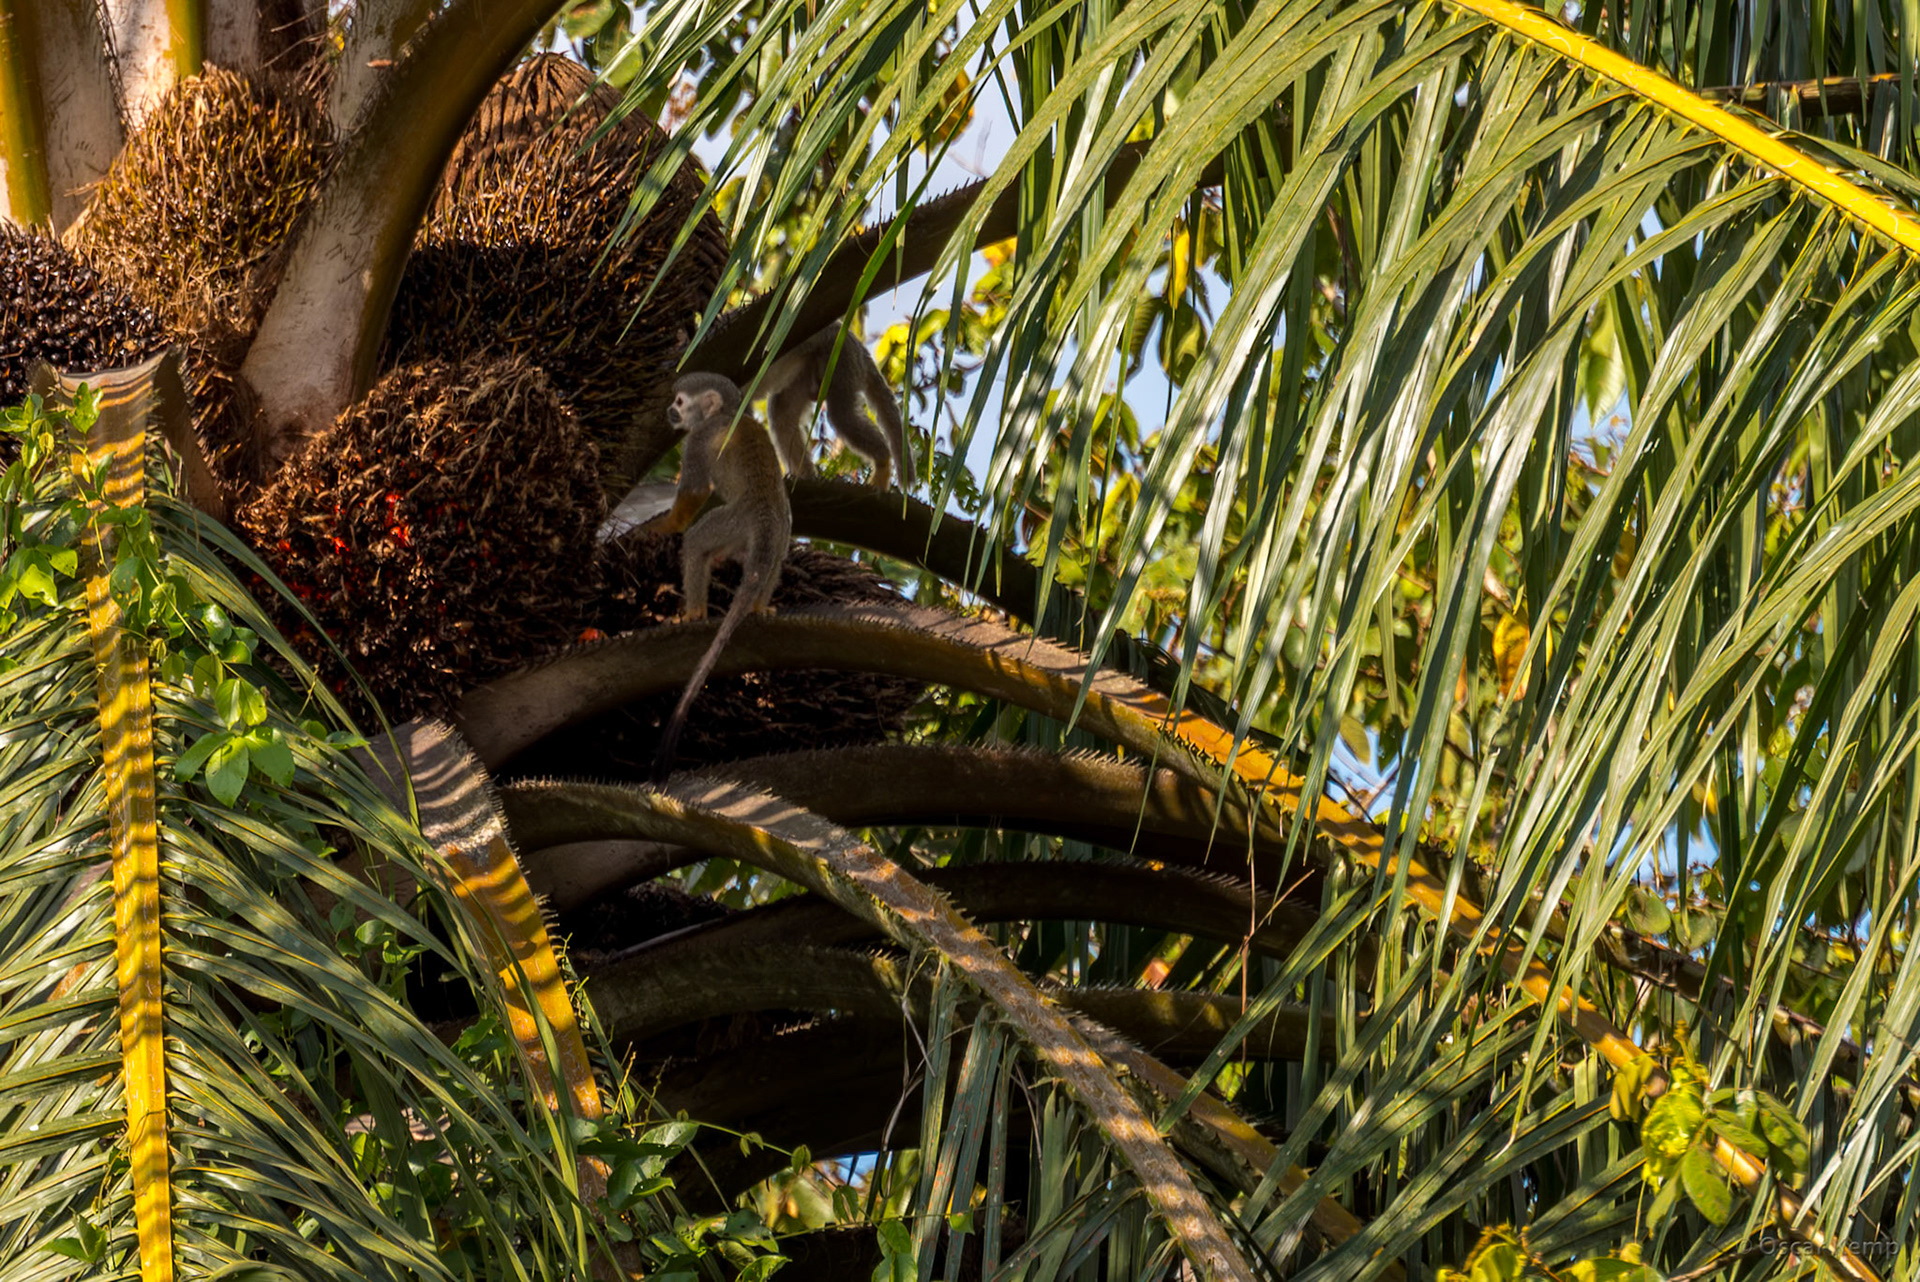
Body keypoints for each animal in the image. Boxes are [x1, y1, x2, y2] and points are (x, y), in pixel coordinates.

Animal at [651, 373, 793, 778]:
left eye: (680, 402)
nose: (669, 412)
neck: (728, 413)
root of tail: (765, 516)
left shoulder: (699, 439)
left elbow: (695, 493)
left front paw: (661, 528)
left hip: (734, 521)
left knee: (698, 540)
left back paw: (695, 612)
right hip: (778, 533)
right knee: (774, 559)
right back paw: (759, 606)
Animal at [758, 323, 914, 490]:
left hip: (840, 357)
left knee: (842, 417)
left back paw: (882, 460)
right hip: (810, 370)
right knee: (781, 414)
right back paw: (805, 477)